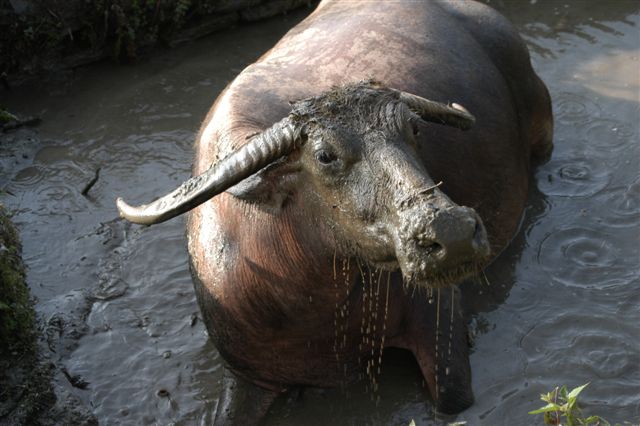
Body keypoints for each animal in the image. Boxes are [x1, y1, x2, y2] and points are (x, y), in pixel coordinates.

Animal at [115, 0, 552, 422]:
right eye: (325, 155)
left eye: (414, 130)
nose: (452, 232)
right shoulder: (246, 373)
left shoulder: (439, 315)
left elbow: (453, 399)